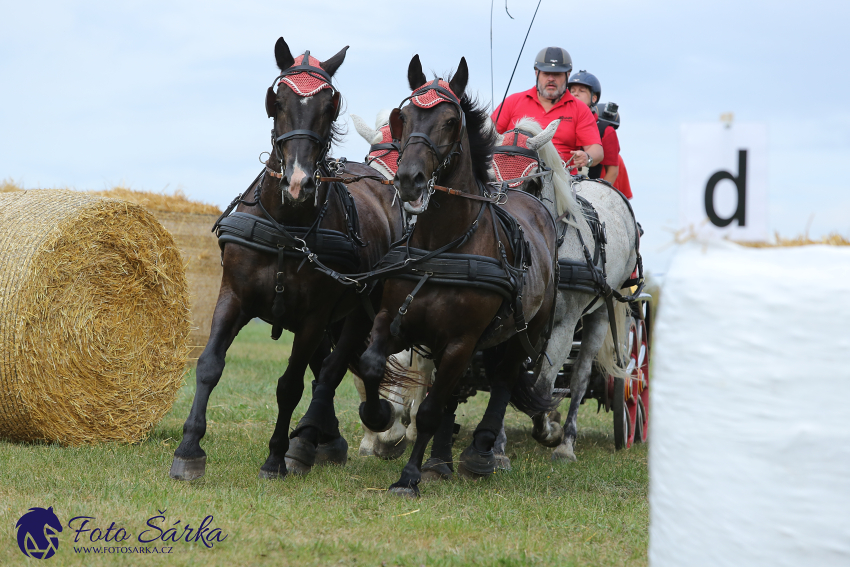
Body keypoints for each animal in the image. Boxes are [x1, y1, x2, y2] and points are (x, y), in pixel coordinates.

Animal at [169, 38, 404, 484]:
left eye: (330, 104)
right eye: (276, 100)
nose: (298, 183)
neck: (285, 225)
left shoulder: (314, 315)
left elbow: (290, 385)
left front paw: (276, 456)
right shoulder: (234, 296)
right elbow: (209, 365)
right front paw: (189, 449)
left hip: (357, 310)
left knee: (333, 370)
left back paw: (324, 434)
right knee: (325, 366)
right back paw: (324, 438)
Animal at [356, 56, 560, 496]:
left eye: (450, 121)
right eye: (405, 116)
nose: (409, 179)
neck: (443, 245)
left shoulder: (460, 341)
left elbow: (430, 411)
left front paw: (409, 477)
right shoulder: (394, 322)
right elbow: (372, 366)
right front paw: (380, 418)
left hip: (526, 330)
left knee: (504, 379)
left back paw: (482, 451)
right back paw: (442, 459)